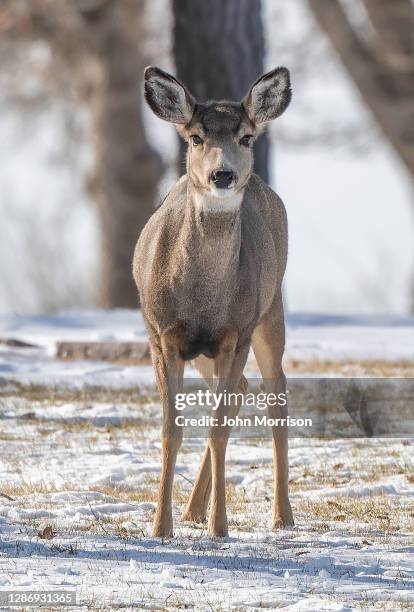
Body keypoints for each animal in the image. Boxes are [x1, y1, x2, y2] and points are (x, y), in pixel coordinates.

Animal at [133, 64, 294, 536]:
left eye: (246, 137)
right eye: (195, 137)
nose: (222, 175)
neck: (202, 298)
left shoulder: (235, 333)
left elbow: (218, 429)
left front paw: (219, 527)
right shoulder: (161, 334)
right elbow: (171, 431)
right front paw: (161, 527)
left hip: (270, 311)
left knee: (276, 394)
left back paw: (282, 515)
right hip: (202, 350)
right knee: (242, 389)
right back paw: (191, 509)